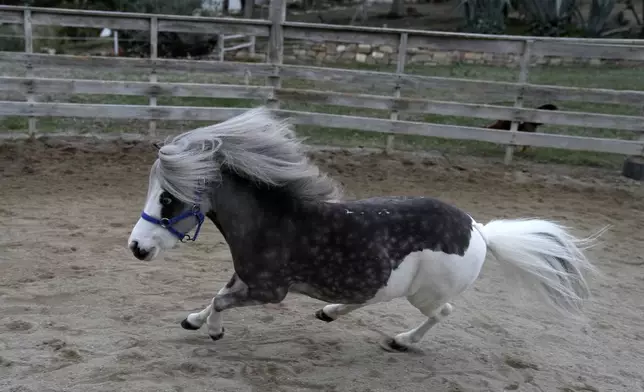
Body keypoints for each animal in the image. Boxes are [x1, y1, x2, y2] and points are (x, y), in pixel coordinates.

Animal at [127, 106, 604, 352]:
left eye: (168, 198)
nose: (136, 247)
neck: (272, 223)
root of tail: (480, 230)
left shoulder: (269, 290)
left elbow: (222, 300)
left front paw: (212, 329)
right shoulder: (245, 277)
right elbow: (216, 294)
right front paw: (194, 320)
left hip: (425, 293)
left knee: (441, 312)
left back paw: (402, 340)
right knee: (369, 296)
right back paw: (330, 311)